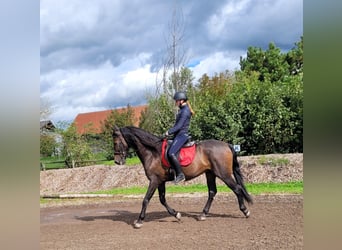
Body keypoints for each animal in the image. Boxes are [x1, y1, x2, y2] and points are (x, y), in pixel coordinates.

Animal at [111, 126, 251, 228]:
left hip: (224, 174)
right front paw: (176, 214)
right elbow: (162, 199)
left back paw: (245, 211)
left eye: (116, 142)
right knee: (212, 192)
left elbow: (146, 199)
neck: (152, 152)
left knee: (237, 189)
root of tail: (227, 145)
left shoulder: (154, 180)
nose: (117, 162)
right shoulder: (160, 181)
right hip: (210, 173)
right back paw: (203, 214)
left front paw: (139, 221)